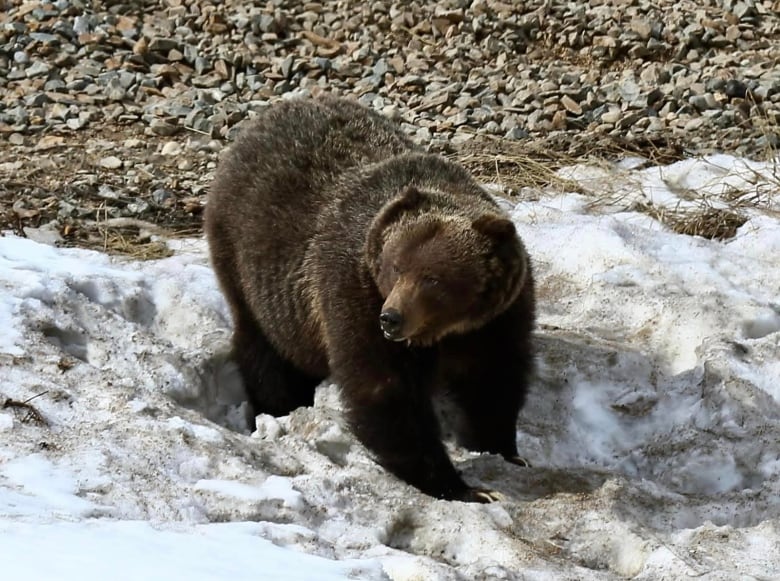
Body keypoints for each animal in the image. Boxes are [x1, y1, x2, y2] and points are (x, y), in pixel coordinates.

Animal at [204, 95, 536, 502]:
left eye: (433, 278)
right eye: (395, 267)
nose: (391, 318)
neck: (446, 330)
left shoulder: (496, 319)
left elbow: (493, 381)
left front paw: (505, 451)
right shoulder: (353, 292)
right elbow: (385, 391)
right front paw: (459, 486)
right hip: (248, 266)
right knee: (266, 351)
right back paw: (278, 406)